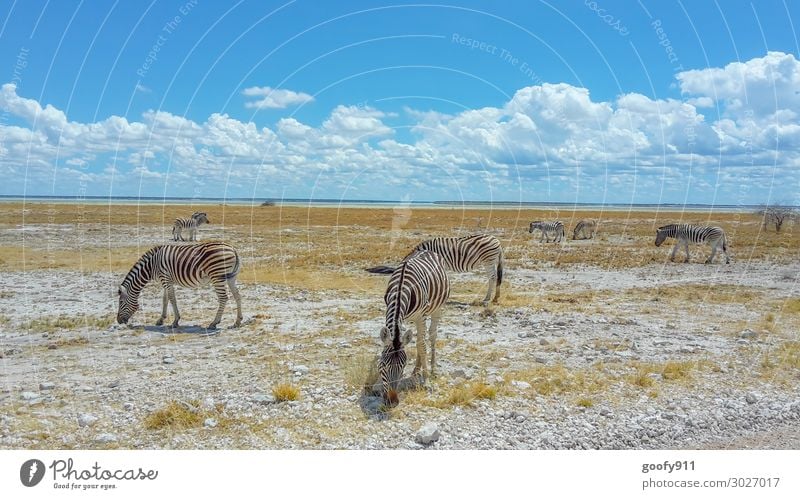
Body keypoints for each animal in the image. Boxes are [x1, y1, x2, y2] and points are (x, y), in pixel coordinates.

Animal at [366, 236, 504, 306]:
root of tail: (496, 240)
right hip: (490, 260)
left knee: (492, 277)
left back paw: (488, 298)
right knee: (495, 277)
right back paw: (495, 298)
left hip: (488, 260)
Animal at [376, 248, 450, 408]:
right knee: (418, 340)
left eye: (403, 366)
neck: (400, 287)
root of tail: (428, 250)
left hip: (437, 308)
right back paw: (416, 370)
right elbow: (415, 343)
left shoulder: (421, 316)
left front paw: (426, 380)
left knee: (430, 336)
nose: (392, 402)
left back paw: (432, 369)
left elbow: (422, 346)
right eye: (383, 365)